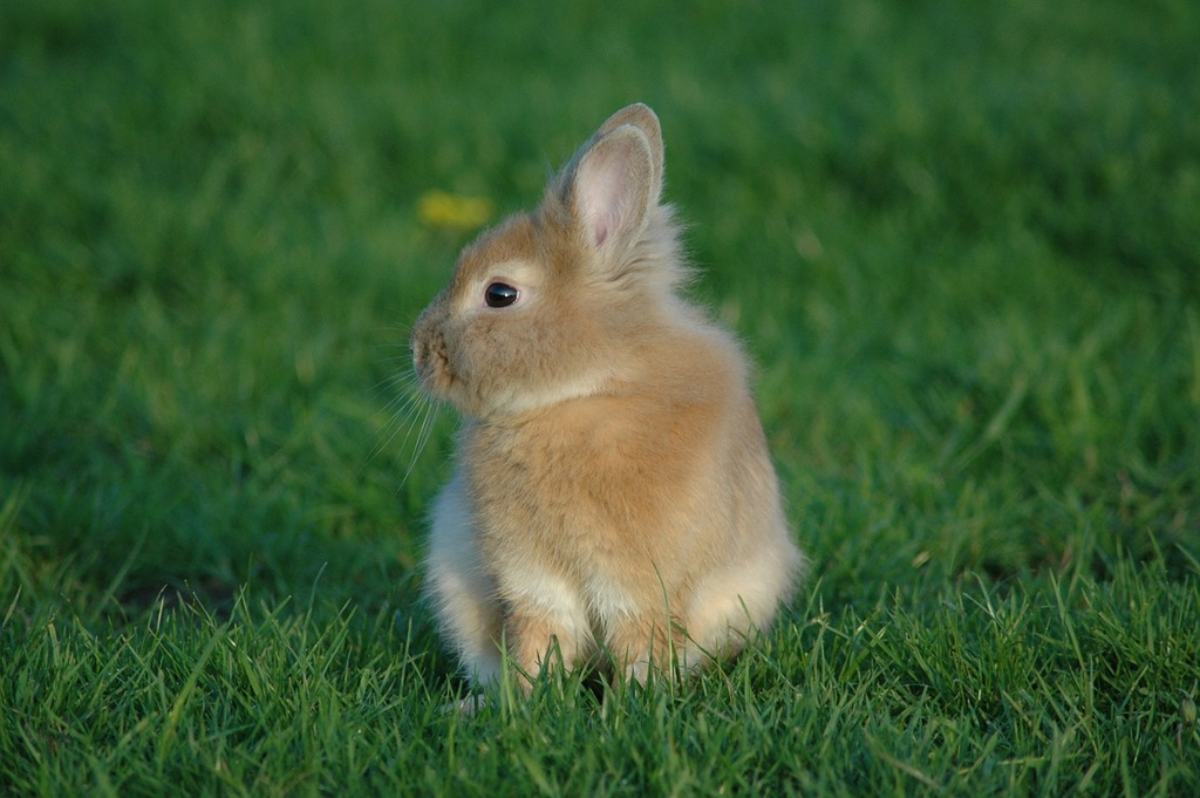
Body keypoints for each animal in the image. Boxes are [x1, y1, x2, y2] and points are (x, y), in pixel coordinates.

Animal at [412, 103, 804, 688]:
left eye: (499, 294)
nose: (418, 351)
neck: (582, 393)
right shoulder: (532, 580)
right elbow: (538, 636)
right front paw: (523, 697)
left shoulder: (640, 584)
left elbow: (638, 639)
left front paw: (635, 699)